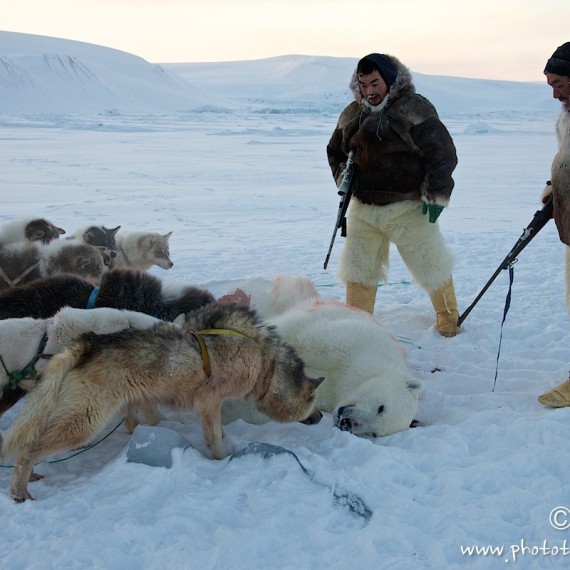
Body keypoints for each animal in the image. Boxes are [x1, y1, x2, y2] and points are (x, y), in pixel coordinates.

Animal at [3, 300, 324, 500]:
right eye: (314, 402)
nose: (322, 417)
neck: (265, 361)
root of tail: (89, 343)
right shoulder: (209, 400)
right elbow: (215, 438)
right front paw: (223, 461)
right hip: (84, 422)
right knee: (29, 450)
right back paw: (20, 492)